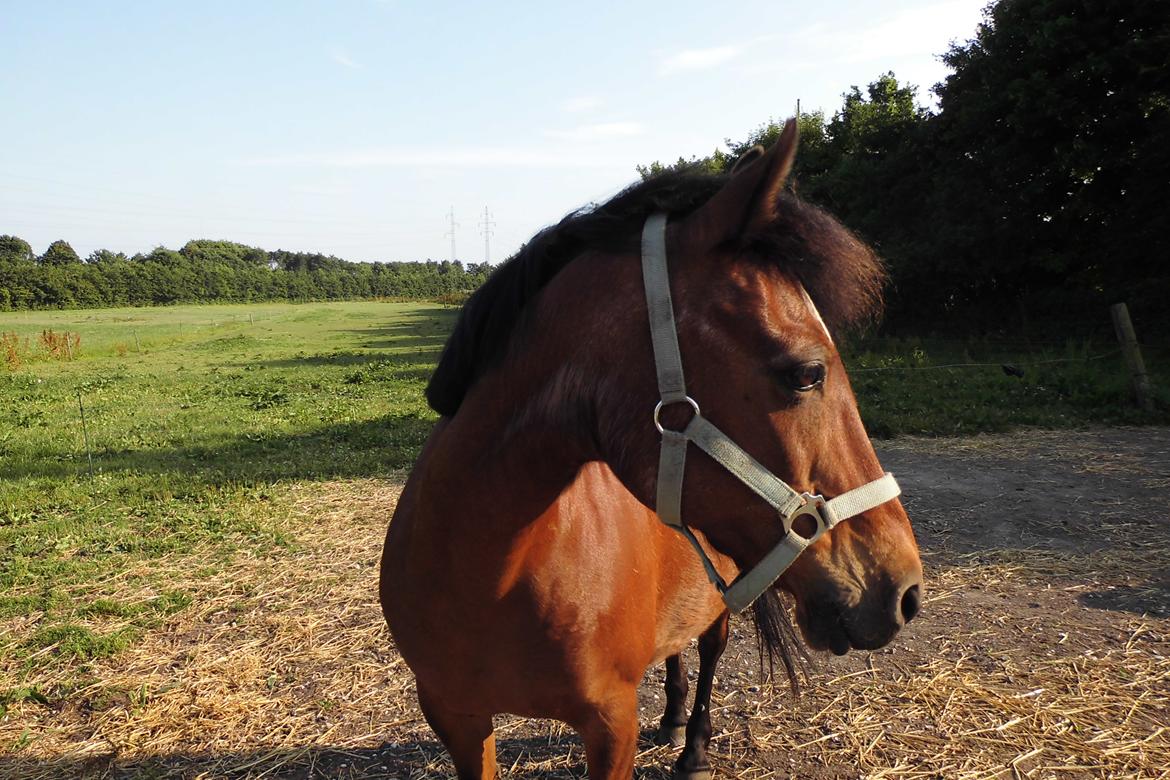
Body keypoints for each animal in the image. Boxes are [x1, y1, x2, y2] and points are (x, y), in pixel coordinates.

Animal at [381, 122, 921, 780]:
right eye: (805, 374)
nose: (904, 590)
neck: (488, 572)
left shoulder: (611, 727)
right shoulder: (456, 717)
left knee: (709, 648)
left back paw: (693, 748)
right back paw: (672, 718)